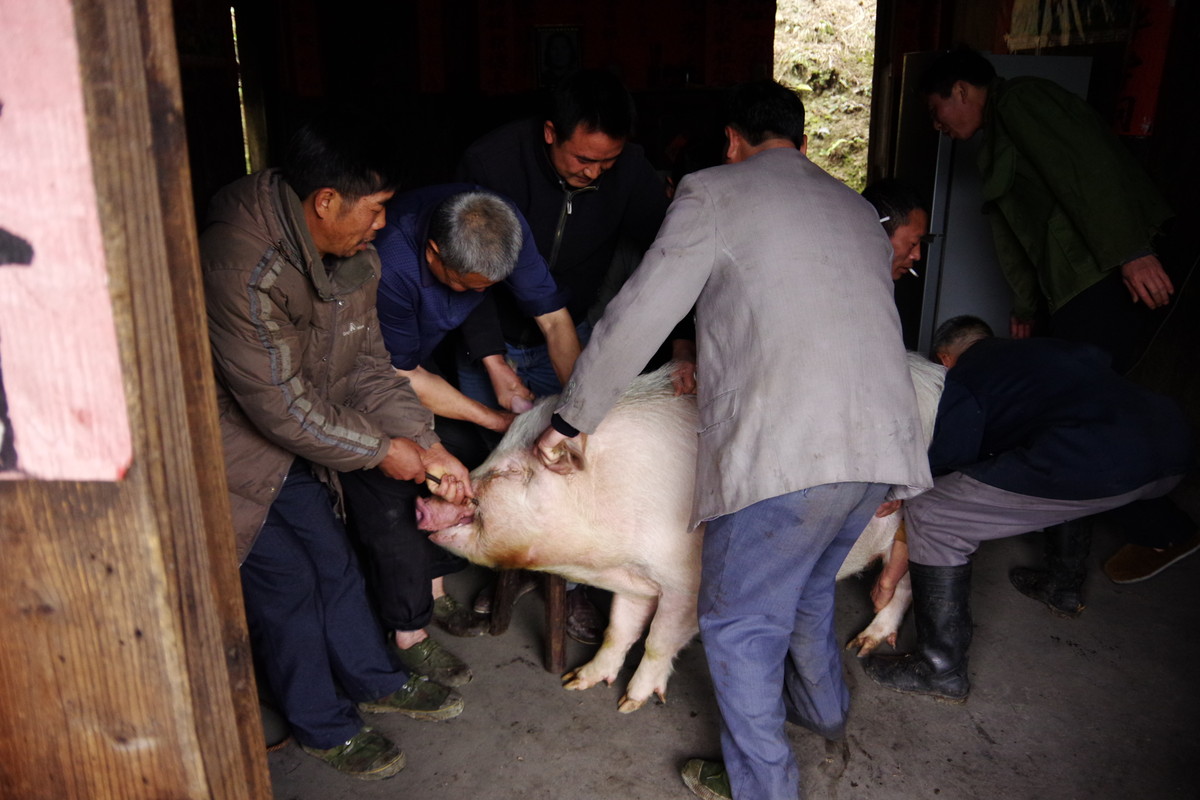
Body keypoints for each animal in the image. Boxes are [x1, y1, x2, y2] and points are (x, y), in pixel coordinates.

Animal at [417, 357, 940, 714]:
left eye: (511, 472)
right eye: (493, 452)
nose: (426, 497)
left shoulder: (688, 582)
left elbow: (658, 639)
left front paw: (630, 703)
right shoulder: (633, 579)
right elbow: (619, 629)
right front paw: (578, 681)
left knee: (905, 587)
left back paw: (865, 645)